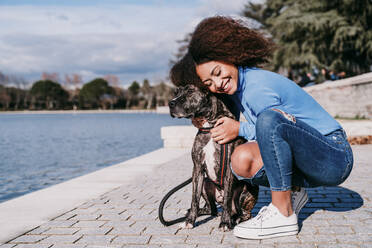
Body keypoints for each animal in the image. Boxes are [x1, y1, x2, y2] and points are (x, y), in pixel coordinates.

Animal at [169, 85, 258, 231]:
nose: (170, 103)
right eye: (176, 92)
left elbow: (227, 198)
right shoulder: (198, 169)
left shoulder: (228, 170)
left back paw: (235, 218)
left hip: (247, 190)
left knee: (243, 212)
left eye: (190, 91)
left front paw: (225, 223)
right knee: (212, 209)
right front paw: (190, 221)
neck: (210, 127)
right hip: (206, 183)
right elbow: (194, 199)